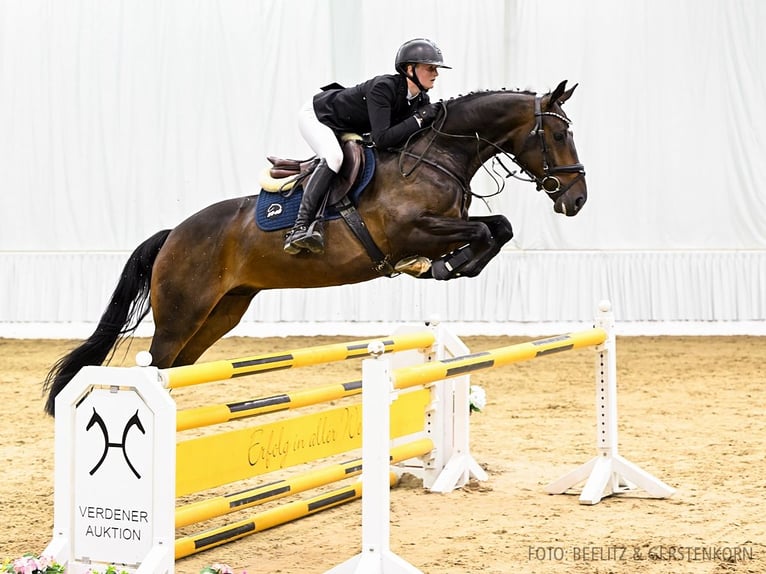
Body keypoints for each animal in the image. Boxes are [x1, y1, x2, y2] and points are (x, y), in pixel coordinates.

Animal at [43, 79, 588, 416]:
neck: (437, 154)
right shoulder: (414, 229)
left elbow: (499, 228)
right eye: (560, 133)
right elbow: (485, 231)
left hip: (220, 313)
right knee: (156, 365)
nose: (577, 199)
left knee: (176, 367)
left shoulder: (448, 223)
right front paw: (442, 266)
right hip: (182, 312)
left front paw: (450, 267)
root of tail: (172, 234)